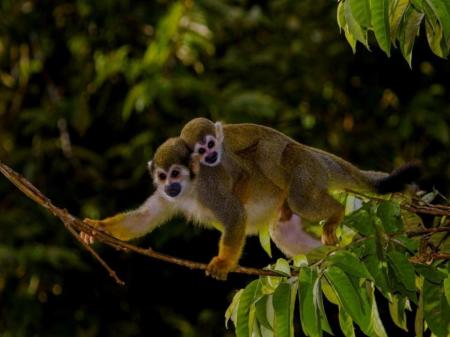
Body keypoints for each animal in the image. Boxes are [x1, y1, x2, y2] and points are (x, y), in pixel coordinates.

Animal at [180, 117, 422, 245]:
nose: (210, 154)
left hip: (291, 159)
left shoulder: (226, 153)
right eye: (201, 149)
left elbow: (243, 175)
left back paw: (333, 211)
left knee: (281, 175)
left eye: (211, 145)